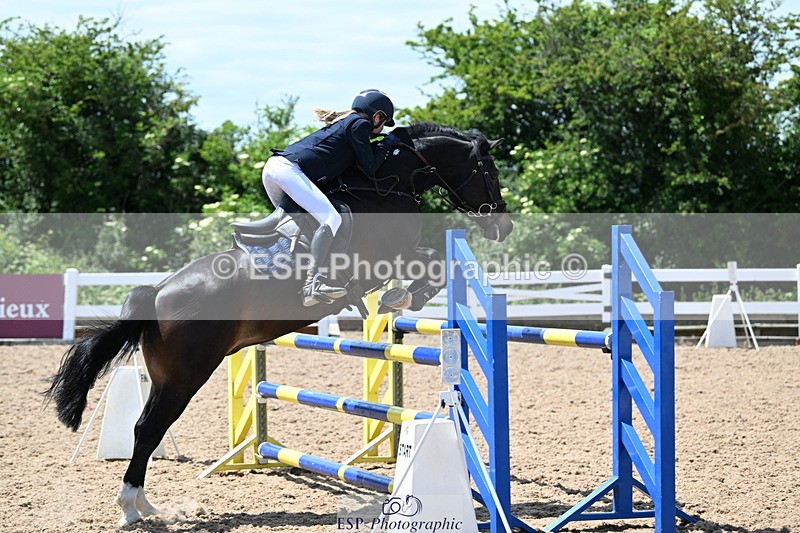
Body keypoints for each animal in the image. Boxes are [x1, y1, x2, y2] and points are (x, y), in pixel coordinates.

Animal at [44, 122, 513, 527]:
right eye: (489, 171)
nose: (502, 224)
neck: (386, 183)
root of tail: (157, 294)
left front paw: (396, 298)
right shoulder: (385, 258)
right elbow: (432, 263)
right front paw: (401, 297)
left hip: (166, 378)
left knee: (147, 429)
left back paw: (146, 505)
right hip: (184, 377)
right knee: (147, 430)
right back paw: (132, 508)